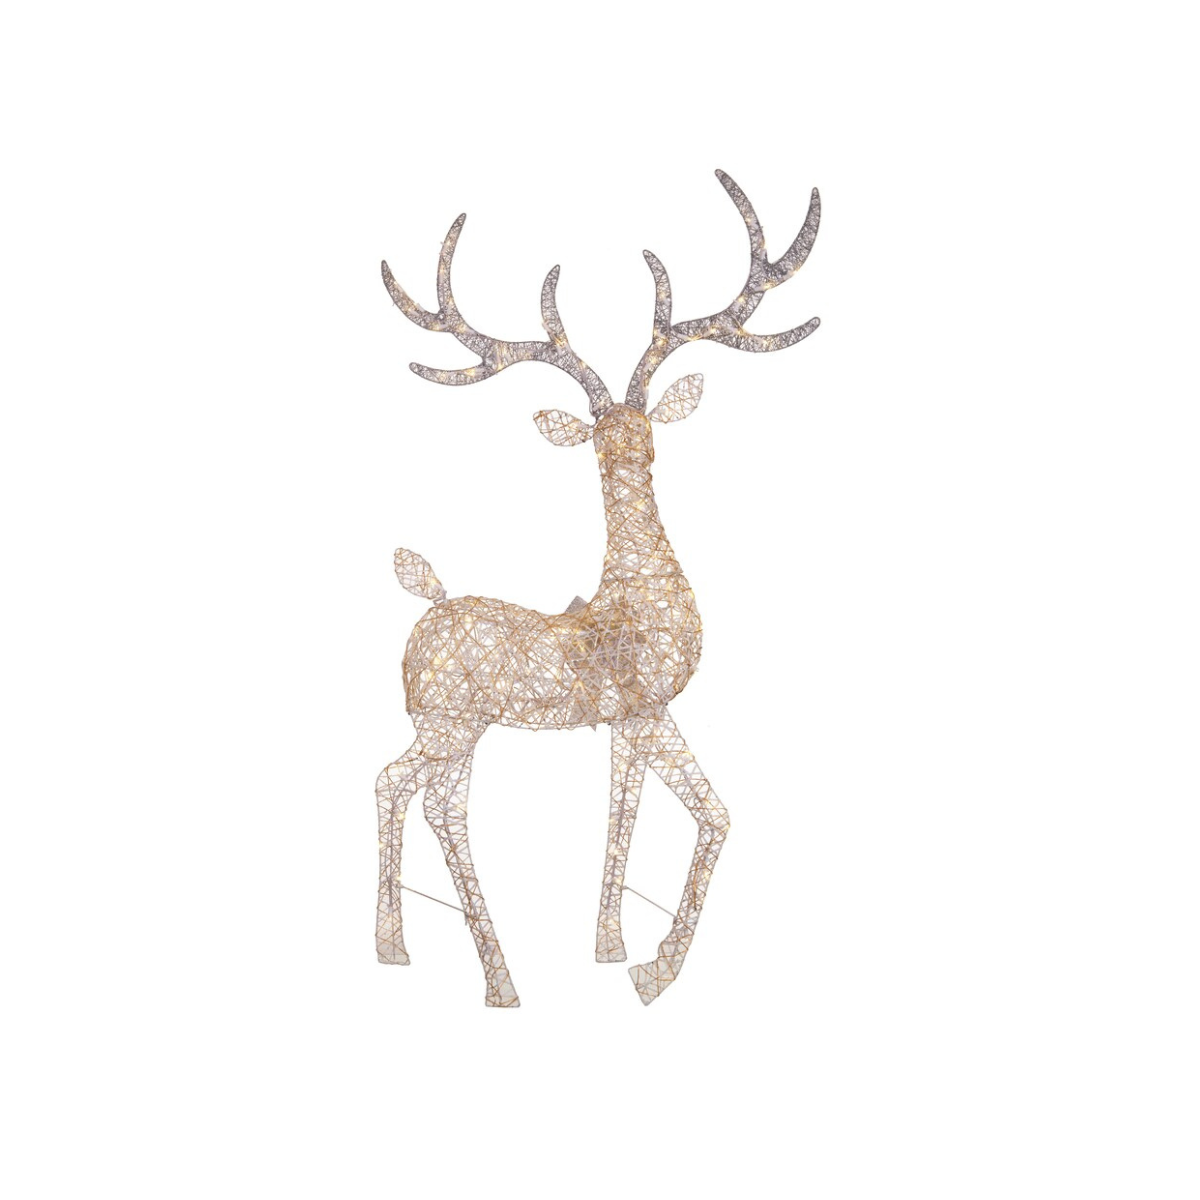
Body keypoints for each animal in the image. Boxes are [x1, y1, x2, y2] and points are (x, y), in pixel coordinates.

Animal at [376, 169, 821, 1006]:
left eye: (645, 434)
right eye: (600, 443)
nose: (633, 460)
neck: (642, 600)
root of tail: (423, 617)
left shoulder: (627, 721)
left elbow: (630, 815)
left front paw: (611, 947)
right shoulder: (648, 709)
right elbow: (714, 816)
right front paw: (658, 968)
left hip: (458, 732)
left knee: (435, 803)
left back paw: (441, 959)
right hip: (450, 724)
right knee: (400, 786)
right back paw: (465, 968)